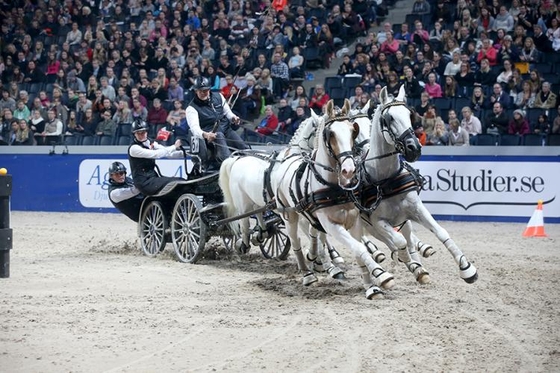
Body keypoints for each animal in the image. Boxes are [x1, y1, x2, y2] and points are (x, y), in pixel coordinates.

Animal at [270, 100, 394, 298]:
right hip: (290, 216)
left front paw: (371, 286)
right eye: (331, 134)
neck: (333, 186)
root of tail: (288, 158)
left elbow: (359, 248)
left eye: (352, 131)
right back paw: (308, 274)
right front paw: (382, 275)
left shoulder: (354, 221)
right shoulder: (331, 225)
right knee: (295, 242)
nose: (349, 170)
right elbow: (358, 248)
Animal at [358, 85, 476, 284]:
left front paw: (467, 268)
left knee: (407, 240)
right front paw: (407, 261)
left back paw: (418, 267)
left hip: (401, 221)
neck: (386, 180)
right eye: (389, 118)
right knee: (390, 242)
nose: (414, 148)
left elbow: (441, 232)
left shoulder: (415, 210)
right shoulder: (377, 221)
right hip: (369, 227)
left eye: (409, 115)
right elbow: (399, 242)